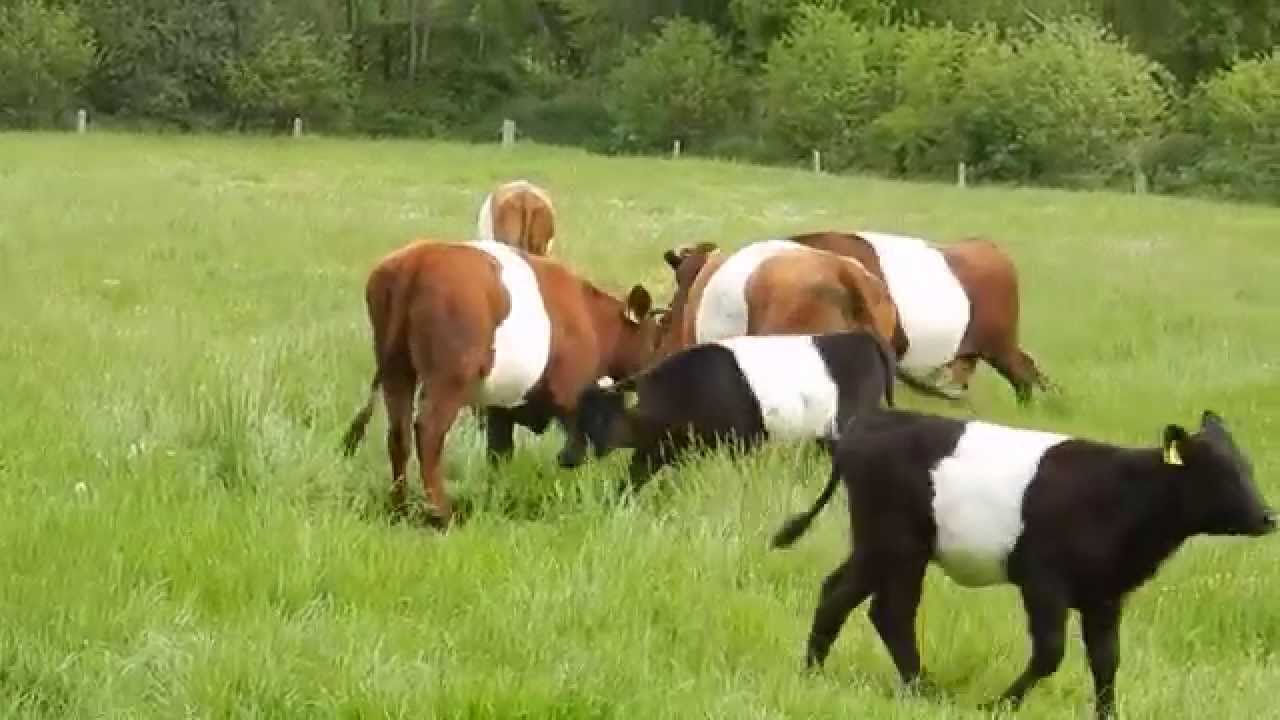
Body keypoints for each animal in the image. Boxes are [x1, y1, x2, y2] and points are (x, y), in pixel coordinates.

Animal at [340, 239, 660, 525]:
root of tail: (419, 257)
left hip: (397, 370)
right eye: (653, 340)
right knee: (428, 432)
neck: (592, 319)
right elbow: (577, 452)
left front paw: (498, 502)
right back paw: (441, 514)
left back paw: (400, 508)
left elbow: (499, 454)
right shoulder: (570, 397)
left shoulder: (500, 408)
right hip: (449, 380)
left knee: (399, 434)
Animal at [772, 407, 1275, 719]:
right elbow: (1051, 654)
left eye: (1248, 468)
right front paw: (998, 705)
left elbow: (1107, 660)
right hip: (894, 544)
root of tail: (870, 421)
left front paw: (1108, 714)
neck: (1121, 495)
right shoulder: (1043, 582)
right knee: (882, 608)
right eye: (1221, 474)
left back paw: (825, 674)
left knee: (849, 598)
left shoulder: (1104, 594)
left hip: (884, 548)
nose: (1269, 516)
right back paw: (915, 688)